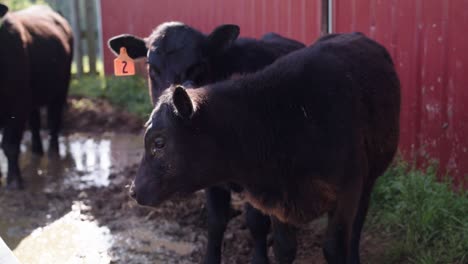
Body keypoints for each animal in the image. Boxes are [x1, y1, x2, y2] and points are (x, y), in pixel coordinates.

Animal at [0, 4, 73, 190]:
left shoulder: (17, 105)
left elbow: (10, 145)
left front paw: (14, 181)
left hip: (60, 89)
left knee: (53, 122)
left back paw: (52, 152)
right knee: (35, 123)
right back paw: (36, 151)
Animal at [131, 33, 398, 264]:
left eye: (159, 142)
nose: (133, 190)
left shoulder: (347, 192)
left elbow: (334, 248)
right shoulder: (279, 202)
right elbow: (283, 248)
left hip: (368, 178)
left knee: (359, 221)